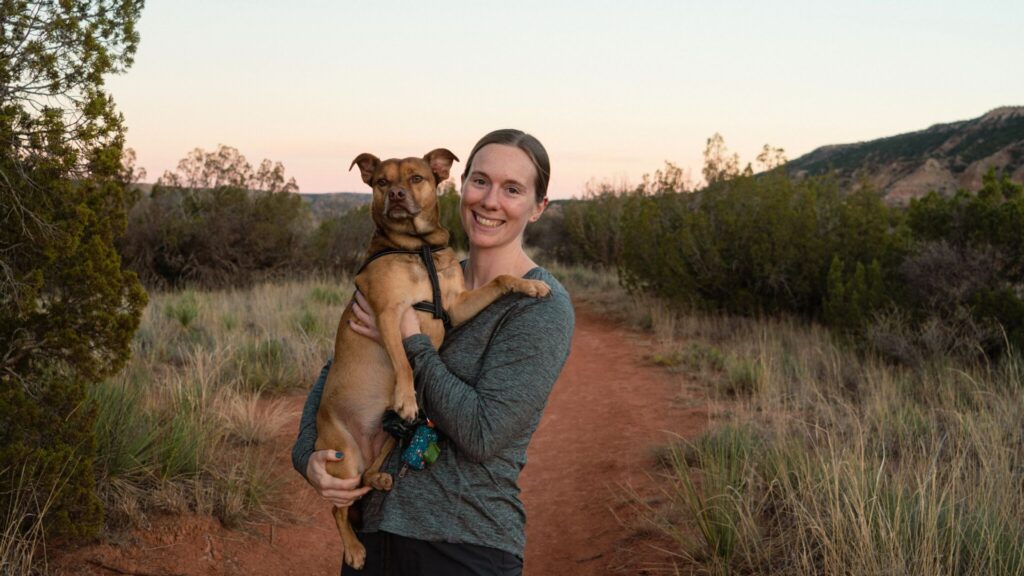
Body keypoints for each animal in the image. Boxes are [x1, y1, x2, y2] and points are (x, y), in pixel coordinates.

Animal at [315, 147, 552, 565]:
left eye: (416, 178)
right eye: (381, 182)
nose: (395, 195)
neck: (417, 246)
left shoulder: (455, 306)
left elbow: (500, 280)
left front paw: (530, 285)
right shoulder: (389, 314)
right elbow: (404, 362)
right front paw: (409, 398)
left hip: (387, 440)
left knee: (367, 478)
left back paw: (380, 478)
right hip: (343, 458)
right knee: (337, 508)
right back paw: (355, 548)